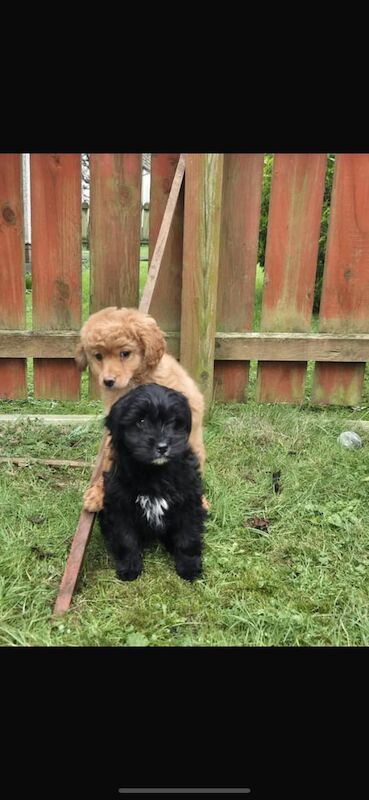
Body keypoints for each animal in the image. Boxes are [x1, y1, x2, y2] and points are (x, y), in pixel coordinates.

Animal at [99, 382, 206, 580]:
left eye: (172, 421)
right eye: (141, 421)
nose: (162, 447)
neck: (155, 472)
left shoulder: (189, 501)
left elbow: (188, 535)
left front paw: (189, 566)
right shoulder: (119, 505)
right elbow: (126, 538)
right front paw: (129, 567)